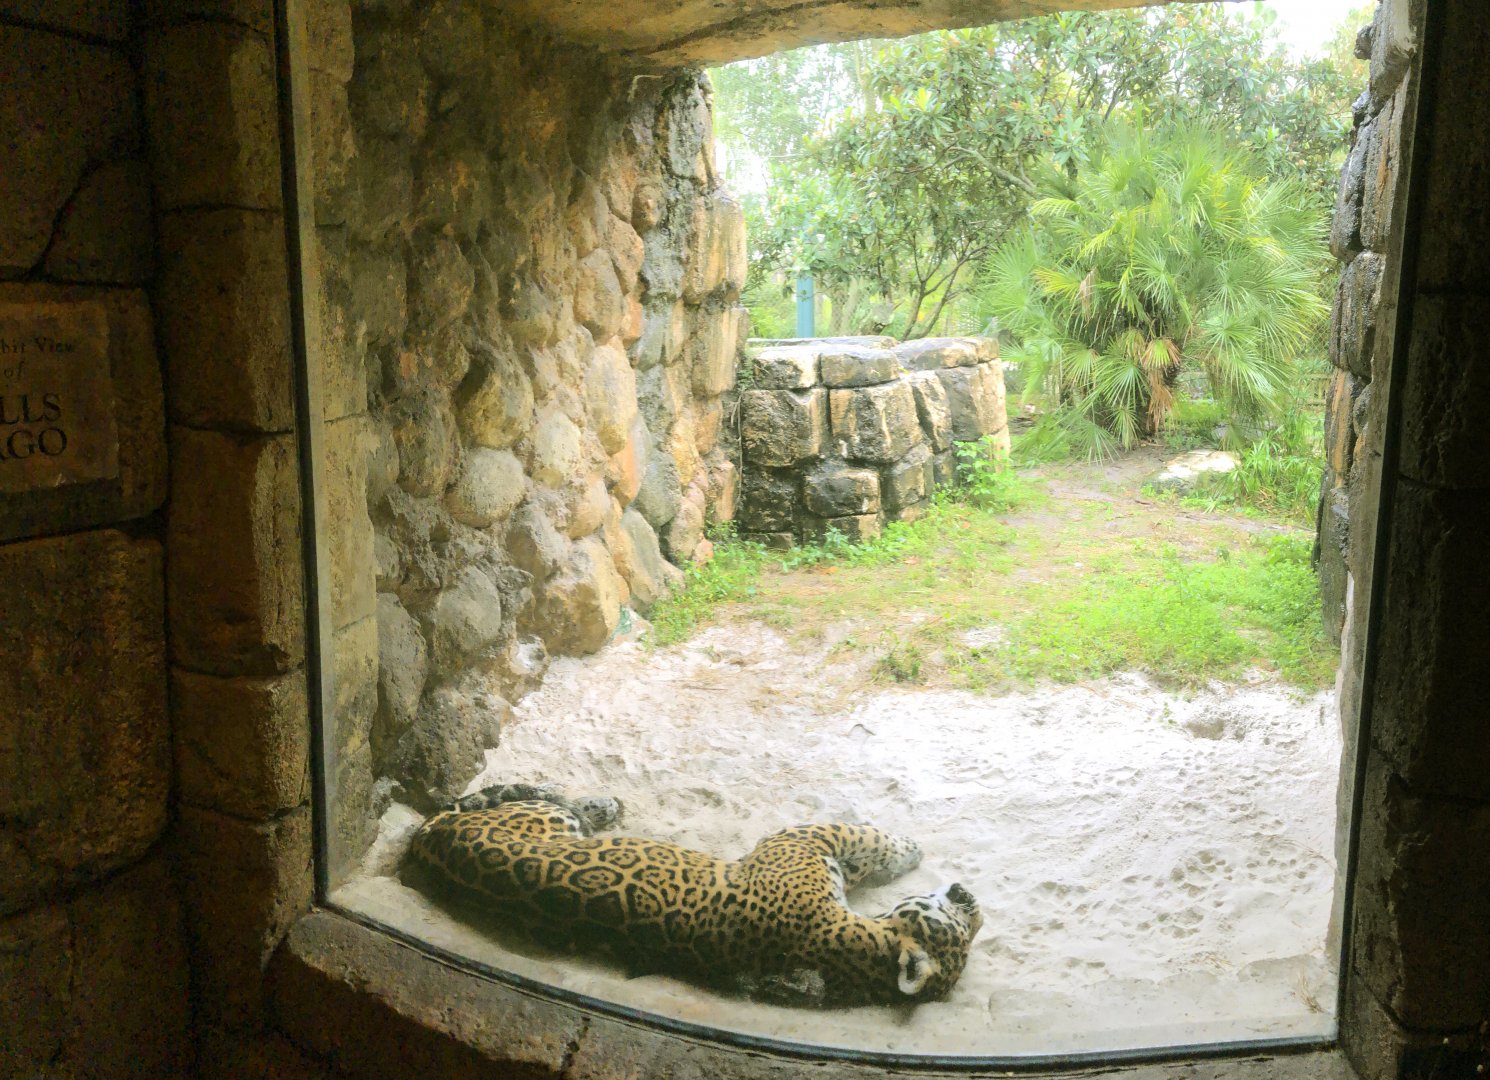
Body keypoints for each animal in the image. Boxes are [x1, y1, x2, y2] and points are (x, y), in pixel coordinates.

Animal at [400, 782, 983, 1006]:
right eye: (966, 925)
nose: (967, 893)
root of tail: (430, 843)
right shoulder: (803, 839)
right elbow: (863, 836)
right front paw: (909, 851)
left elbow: (864, 843)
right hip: (541, 817)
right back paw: (604, 804)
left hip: (538, 820)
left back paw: (601, 806)